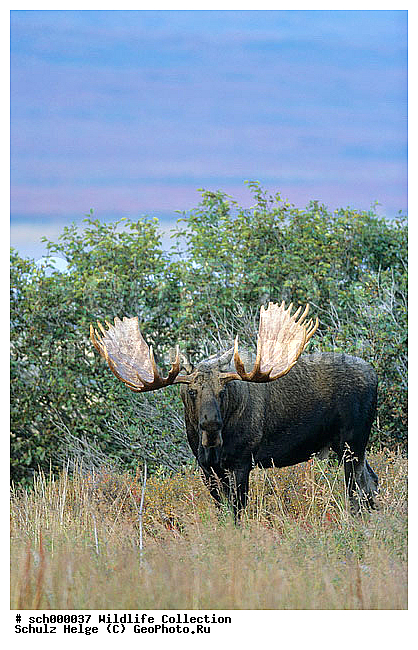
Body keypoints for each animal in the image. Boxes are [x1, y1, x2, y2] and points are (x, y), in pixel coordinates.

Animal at [91, 301, 378, 518]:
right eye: (192, 391)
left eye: (222, 391)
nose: (211, 425)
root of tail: (375, 375)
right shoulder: (206, 467)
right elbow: (223, 510)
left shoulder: (241, 461)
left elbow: (237, 510)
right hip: (348, 447)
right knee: (371, 482)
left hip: (353, 442)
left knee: (359, 489)